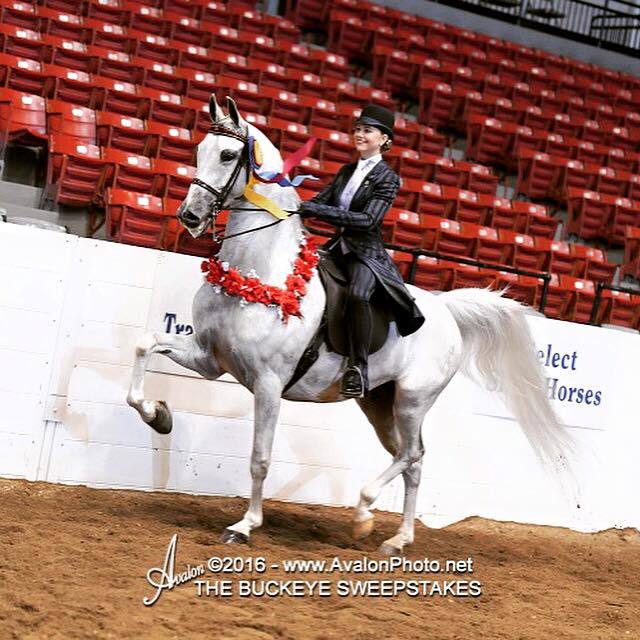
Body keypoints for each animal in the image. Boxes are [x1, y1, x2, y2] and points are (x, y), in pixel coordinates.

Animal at [127, 95, 576, 555]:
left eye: (228, 155)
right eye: (200, 149)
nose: (190, 216)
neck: (257, 273)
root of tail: (446, 310)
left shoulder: (268, 383)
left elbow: (259, 459)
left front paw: (245, 525)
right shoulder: (209, 358)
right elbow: (145, 345)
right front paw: (158, 415)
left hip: (413, 399)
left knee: (412, 455)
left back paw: (365, 513)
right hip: (379, 403)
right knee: (412, 460)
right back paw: (398, 538)